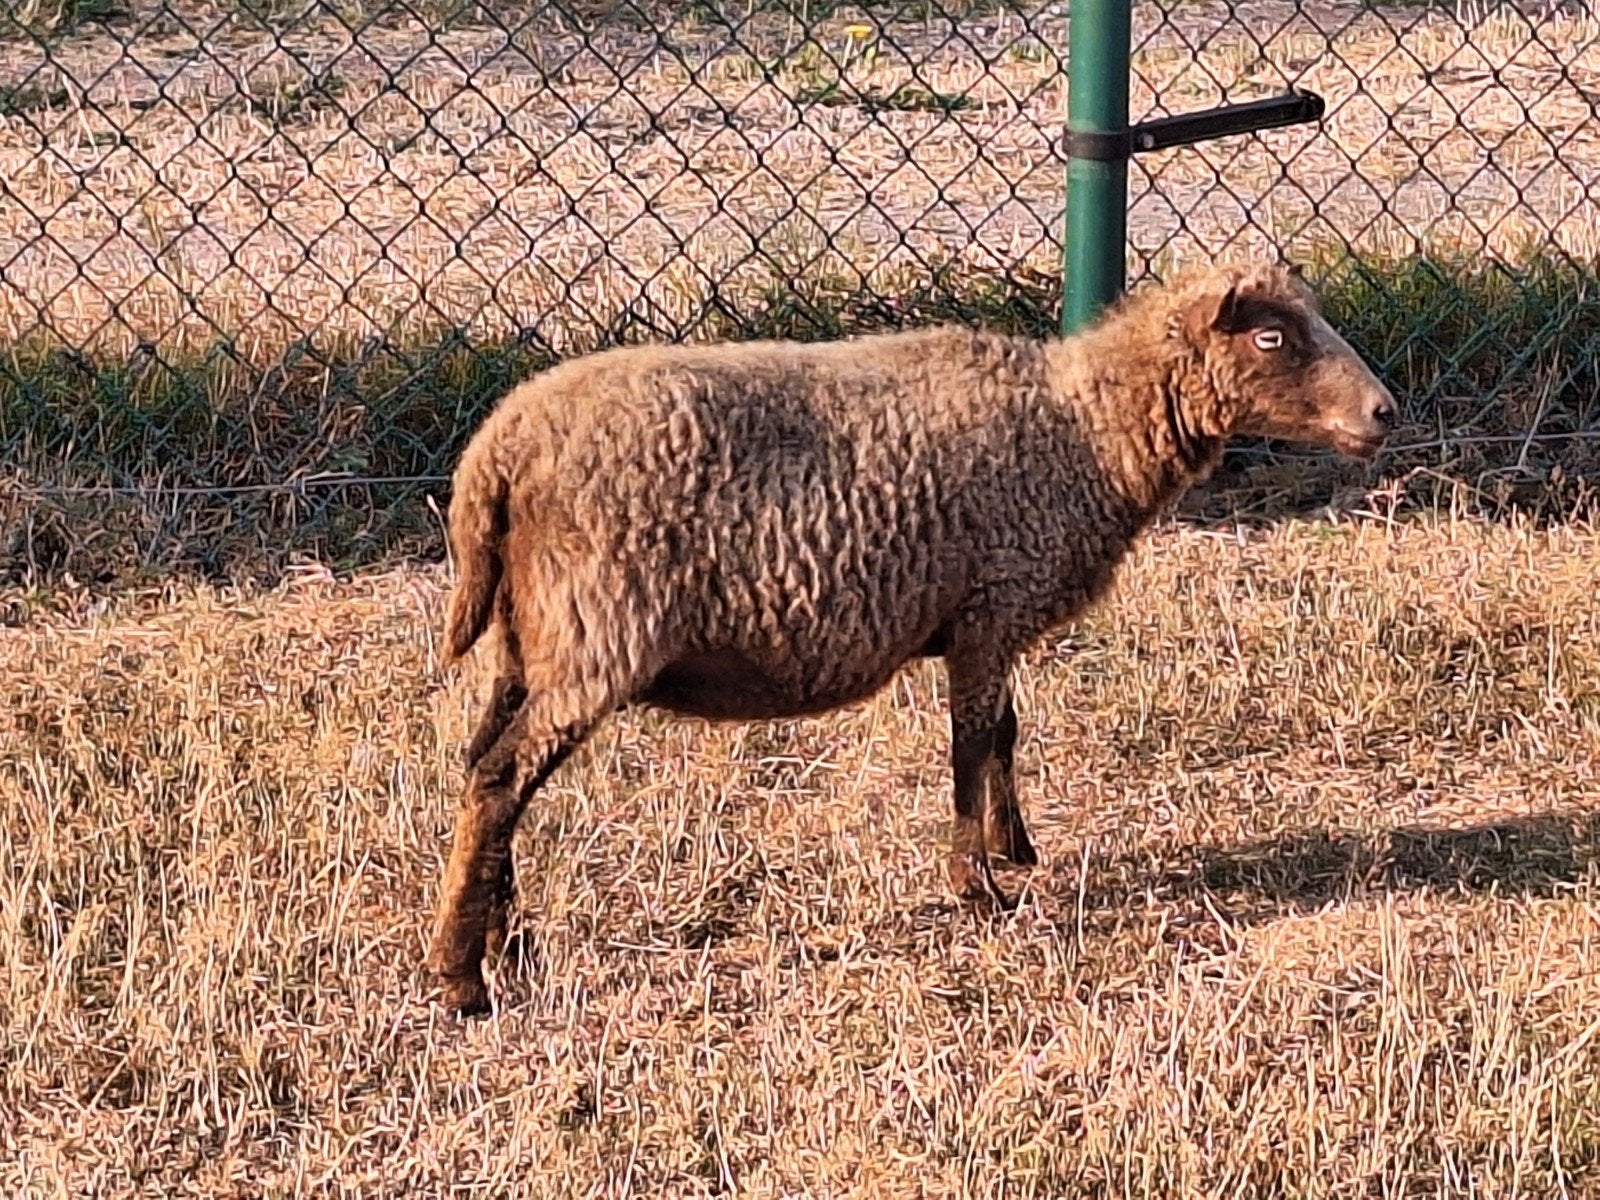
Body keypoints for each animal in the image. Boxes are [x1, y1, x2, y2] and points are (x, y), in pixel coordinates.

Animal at [425, 259, 1398, 1016]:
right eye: (1272, 339)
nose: (1385, 413)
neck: (1085, 432)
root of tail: (494, 453)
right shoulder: (991, 607)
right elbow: (971, 745)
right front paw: (980, 887)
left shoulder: (985, 614)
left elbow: (1004, 733)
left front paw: (1016, 850)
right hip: (597, 630)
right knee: (503, 777)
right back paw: (461, 978)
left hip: (531, 636)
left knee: (486, 767)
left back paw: (507, 942)